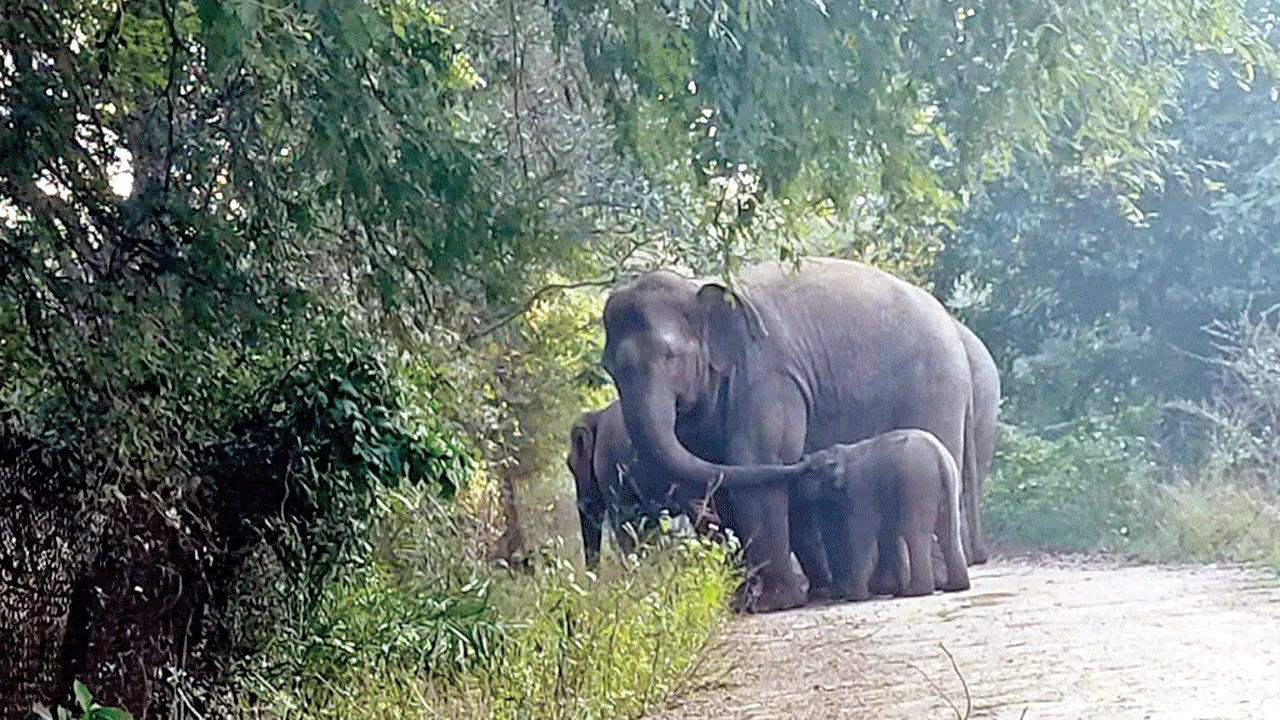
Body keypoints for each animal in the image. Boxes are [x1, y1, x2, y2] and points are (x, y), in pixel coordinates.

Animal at [798, 427, 967, 597]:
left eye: (812, 471)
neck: (844, 452)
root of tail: (939, 454)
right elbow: (887, 530)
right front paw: (884, 588)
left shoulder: (860, 488)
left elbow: (862, 530)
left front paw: (855, 596)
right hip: (946, 483)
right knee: (947, 532)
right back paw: (953, 587)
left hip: (917, 483)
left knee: (915, 532)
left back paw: (913, 592)